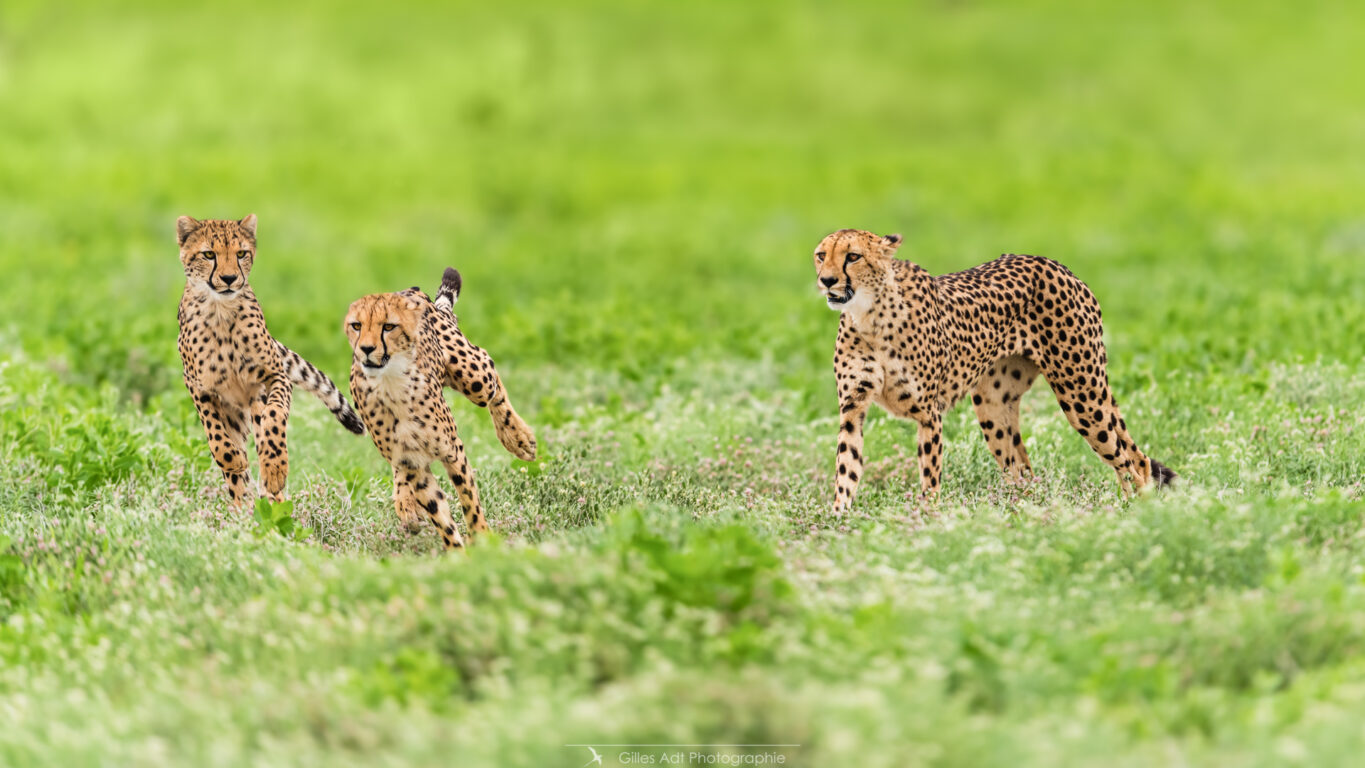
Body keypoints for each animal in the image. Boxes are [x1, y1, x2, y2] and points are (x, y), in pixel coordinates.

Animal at [177, 215, 368, 510]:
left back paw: (273, 498)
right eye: (208, 254)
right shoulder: (199, 387)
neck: (221, 310)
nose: (229, 278)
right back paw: (243, 507)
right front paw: (233, 461)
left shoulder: (275, 376)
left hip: (255, 400)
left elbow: (275, 417)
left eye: (241, 253)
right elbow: (216, 436)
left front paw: (275, 469)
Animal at [343, 267, 535, 551]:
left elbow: (468, 498)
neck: (391, 386)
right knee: (398, 470)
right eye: (356, 326)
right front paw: (457, 551)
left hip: (474, 376)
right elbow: (439, 514)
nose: (366, 349)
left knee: (489, 369)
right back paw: (406, 505)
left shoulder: (452, 450)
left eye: (388, 326)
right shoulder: (414, 465)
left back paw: (518, 437)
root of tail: (411, 290)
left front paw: (482, 539)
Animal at [813, 230, 1179, 515]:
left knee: (1129, 460)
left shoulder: (929, 414)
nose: (827, 281)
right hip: (993, 406)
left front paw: (927, 519)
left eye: (853, 257)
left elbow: (929, 476)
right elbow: (846, 466)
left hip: (1081, 394)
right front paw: (839, 521)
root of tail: (1054, 264)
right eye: (821, 255)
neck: (868, 315)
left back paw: (1133, 514)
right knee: (1025, 472)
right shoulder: (853, 406)